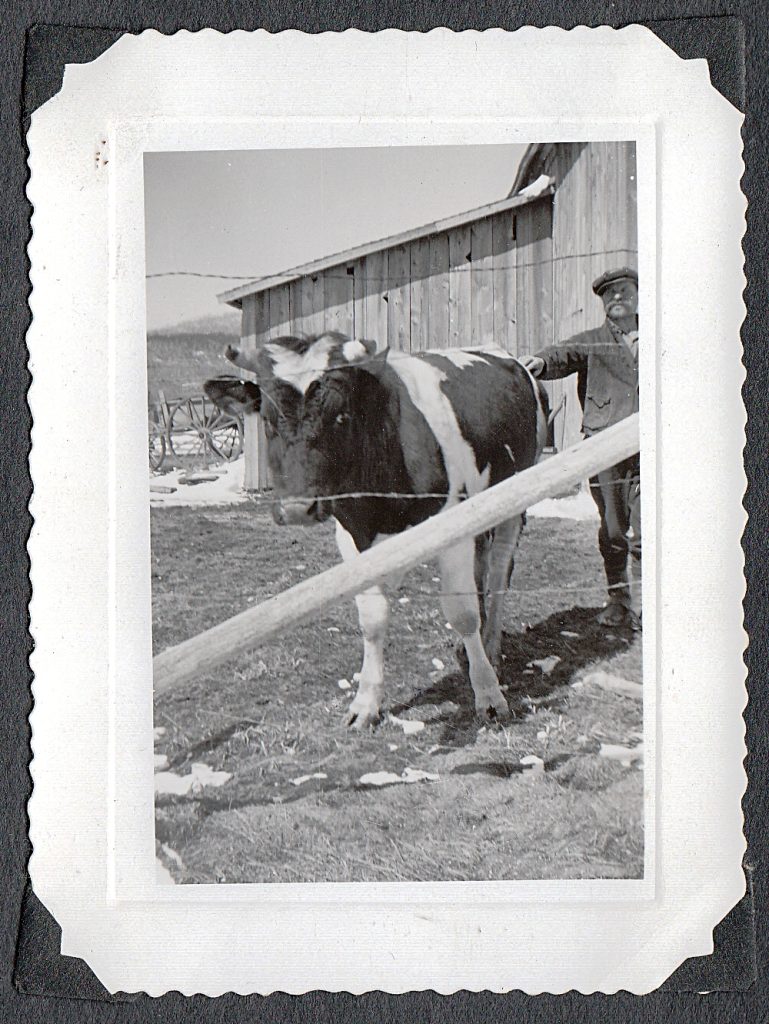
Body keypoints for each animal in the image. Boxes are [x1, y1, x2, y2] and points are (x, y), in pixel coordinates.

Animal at [205, 331, 548, 729]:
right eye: (269, 420)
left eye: (341, 416)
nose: (296, 510)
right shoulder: (352, 536)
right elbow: (372, 620)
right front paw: (365, 704)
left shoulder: (452, 524)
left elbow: (462, 614)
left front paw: (489, 696)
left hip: (515, 495)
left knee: (499, 572)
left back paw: (490, 648)